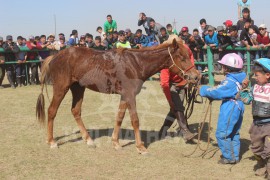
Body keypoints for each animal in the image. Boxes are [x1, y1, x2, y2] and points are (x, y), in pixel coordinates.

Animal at [35, 36, 199, 155]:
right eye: (182, 57)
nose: (196, 76)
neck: (136, 63)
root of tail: (55, 56)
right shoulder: (130, 95)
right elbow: (135, 120)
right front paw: (140, 147)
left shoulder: (125, 95)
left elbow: (119, 117)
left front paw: (116, 143)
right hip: (61, 88)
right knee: (52, 111)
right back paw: (52, 142)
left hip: (78, 89)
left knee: (75, 111)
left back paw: (89, 140)